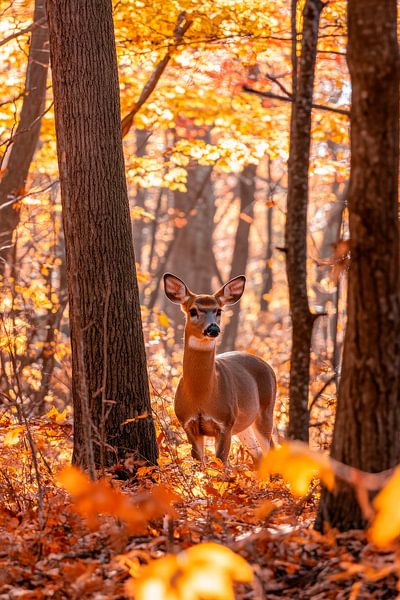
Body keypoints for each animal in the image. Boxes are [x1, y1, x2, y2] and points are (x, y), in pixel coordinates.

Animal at [162, 272, 276, 464]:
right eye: (193, 310)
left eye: (219, 311)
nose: (213, 328)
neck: (201, 395)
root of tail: (268, 366)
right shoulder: (187, 424)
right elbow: (200, 463)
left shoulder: (225, 423)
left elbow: (221, 462)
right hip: (244, 425)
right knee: (258, 455)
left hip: (265, 410)